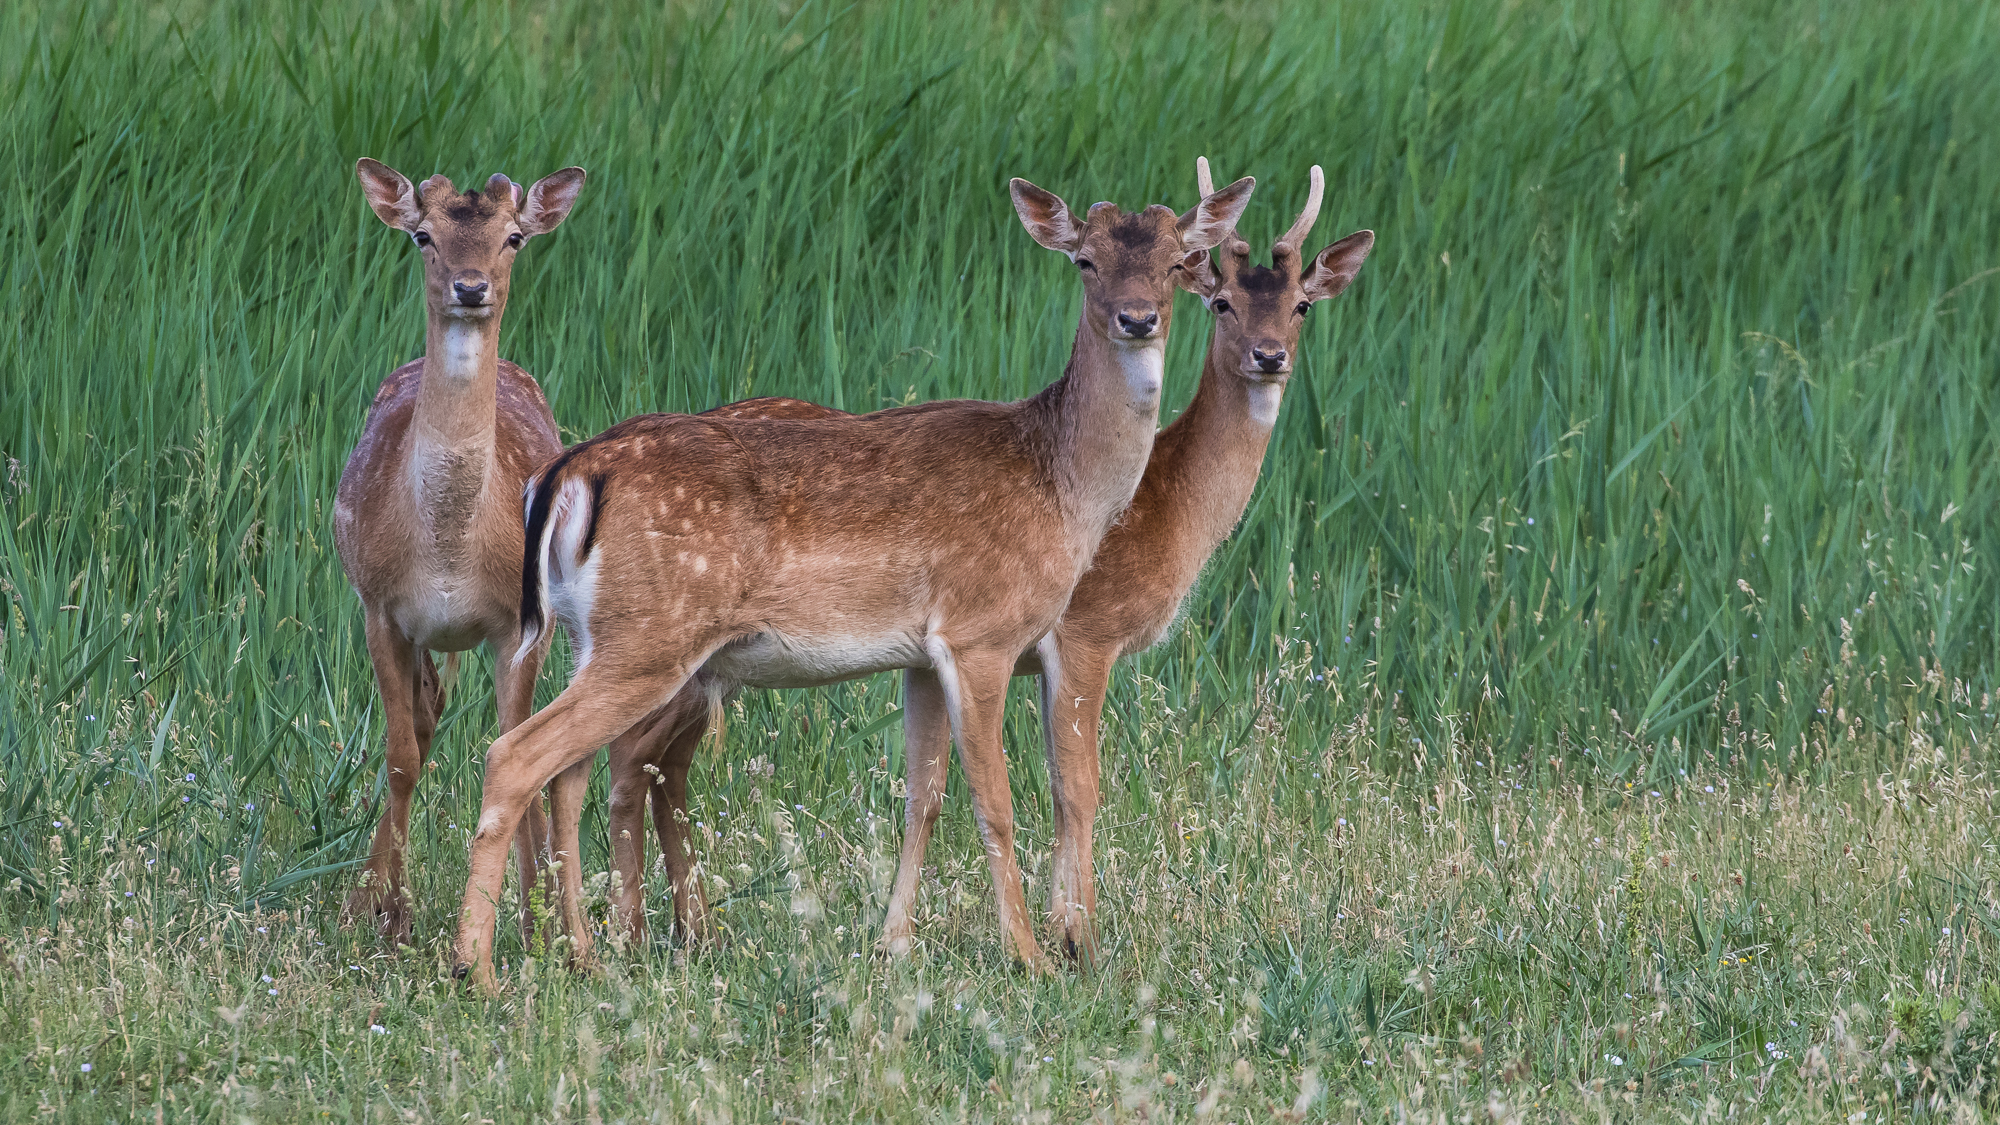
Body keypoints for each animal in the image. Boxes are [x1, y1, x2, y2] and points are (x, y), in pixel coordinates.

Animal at [335, 158, 586, 946]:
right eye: (423, 235)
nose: (470, 287)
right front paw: (387, 912)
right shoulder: (380, 606)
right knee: (421, 722)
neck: (448, 555)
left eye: (514, 237)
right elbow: (400, 757)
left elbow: (518, 749)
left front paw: (534, 920)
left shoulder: (520, 623)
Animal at [447, 173, 1258, 990]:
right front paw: (1032, 956)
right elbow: (995, 799)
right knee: (515, 755)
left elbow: (923, 795)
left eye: (1176, 261)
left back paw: (582, 952)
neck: (1063, 487)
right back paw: (477, 966)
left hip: (603, 636)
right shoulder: (982, 631)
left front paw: (894, 944)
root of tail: (570, 471)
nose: (1137, 318)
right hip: (652, 635)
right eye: (1086, 261)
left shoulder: (923, 655)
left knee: (569, 768)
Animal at [588, 161, 1372, 967]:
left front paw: (938, 936)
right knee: (629, 755)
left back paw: (682, 930)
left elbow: (947, 790)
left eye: (1302, 305)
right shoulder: (1083, 632)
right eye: (1220, 302)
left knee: (654, 762)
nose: (1269, 357)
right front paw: (1076, 938)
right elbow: (1075, 788)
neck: (1165, 511)